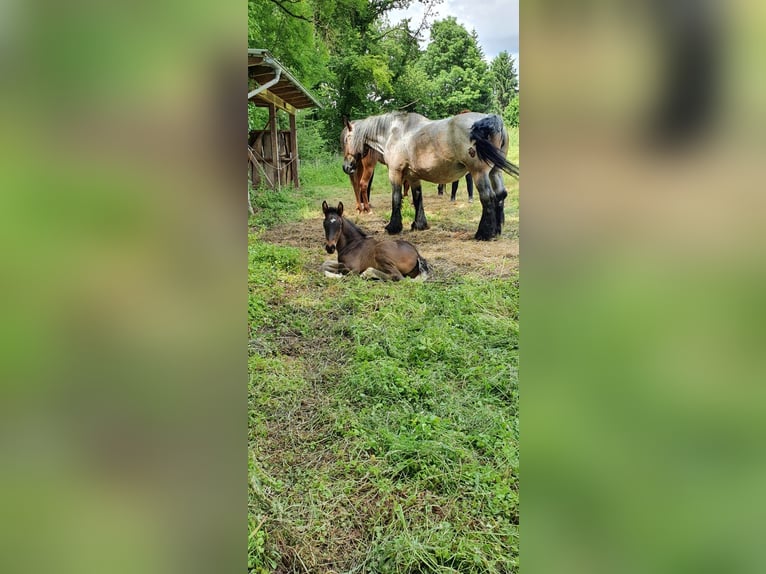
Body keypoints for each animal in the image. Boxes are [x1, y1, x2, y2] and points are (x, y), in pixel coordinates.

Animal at [344, 111, 520, 240]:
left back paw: (483, 234)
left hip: (479, 173)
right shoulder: (413, 176)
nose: (346, 166)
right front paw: (419, 224)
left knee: (488, 197)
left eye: (346, 139)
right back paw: (496, 230)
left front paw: (393, 227)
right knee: (500, 195)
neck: (395, 132)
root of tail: (491, 119)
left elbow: (396, 198)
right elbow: (417, 198)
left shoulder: (395, 173)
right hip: (495, 171)